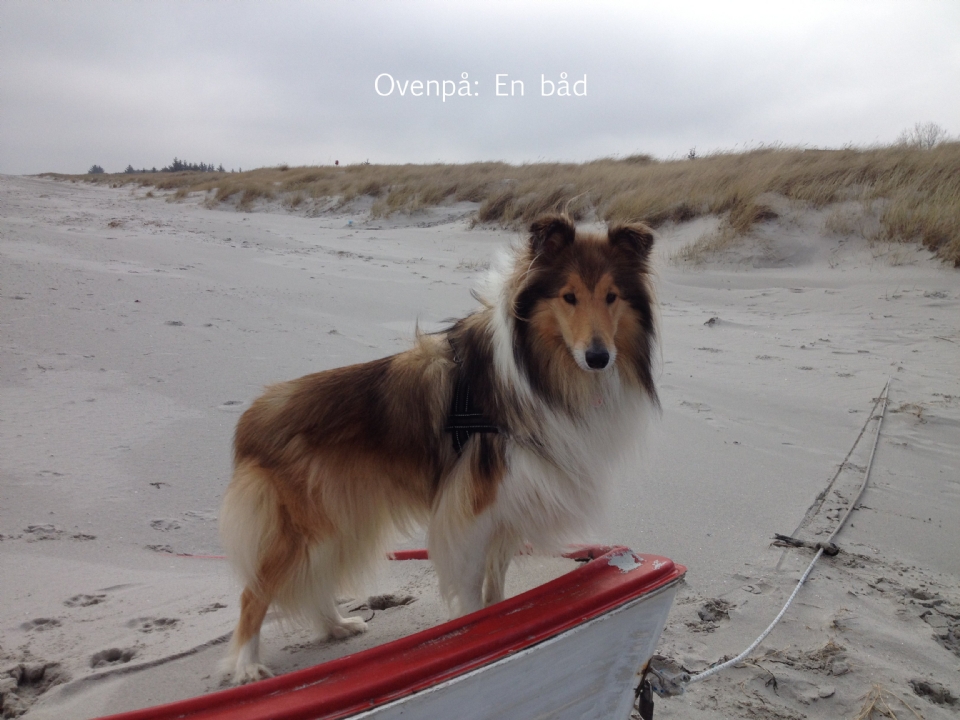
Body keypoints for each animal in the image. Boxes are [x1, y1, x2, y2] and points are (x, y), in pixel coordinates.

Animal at [219, 214, 659, 683]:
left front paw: (501, 619)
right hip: (303, 528)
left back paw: (336, 626)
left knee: (315, 580)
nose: (598, 357)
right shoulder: (471, 511)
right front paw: (474, 632)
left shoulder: (509, 506)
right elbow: (471, 584)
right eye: (569, 296)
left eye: (612, 296)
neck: (540, 374)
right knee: (254, 593)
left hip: (337, 519)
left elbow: (495, 581)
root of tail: (252, 418)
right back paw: (247, 666)